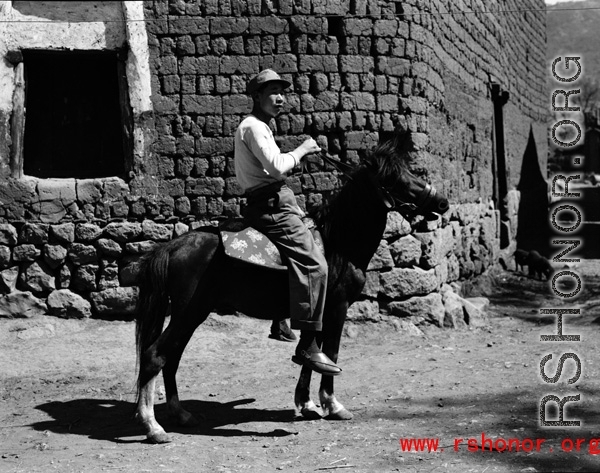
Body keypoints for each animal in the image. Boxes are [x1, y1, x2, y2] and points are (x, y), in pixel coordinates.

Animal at [134, 139, 448, 442]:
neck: (340, 243)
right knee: (154, 355)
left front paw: (307, 403)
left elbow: (311, 353)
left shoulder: (319, 309)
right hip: (189, 312)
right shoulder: (338, 307)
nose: (442, 202)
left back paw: (180, 414)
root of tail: (172, 246)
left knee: (171, 357)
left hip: (192, 314)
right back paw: (153, 426)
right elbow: (331, 352)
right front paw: (333, 405)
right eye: (394, 178)